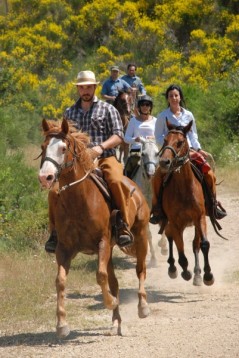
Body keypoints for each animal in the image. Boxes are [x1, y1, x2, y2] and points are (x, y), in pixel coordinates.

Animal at [37, 118, 149, 338]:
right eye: (43, 147)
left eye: (63, 148)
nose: (45, 176)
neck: (78, 200)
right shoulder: (64, 249)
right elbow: (60, 280)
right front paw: (61, 325)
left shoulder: (102, 242)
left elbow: (100, 276)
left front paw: (110, 302)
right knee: (114, 282)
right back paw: (116, 323)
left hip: (140, 237)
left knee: (140, 270)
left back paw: (143, 307)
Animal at [159, 121, 215, 288]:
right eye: (165, 140)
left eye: (179, 142)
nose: (164, 162)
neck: (184, 189)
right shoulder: (175, 222)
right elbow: (180, 248)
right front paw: (185, 271)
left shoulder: (200, 218)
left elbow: (203, 244)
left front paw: (207, 275)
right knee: (170, 238)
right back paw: (173, 268)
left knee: (195, 244)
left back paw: (197, 274)